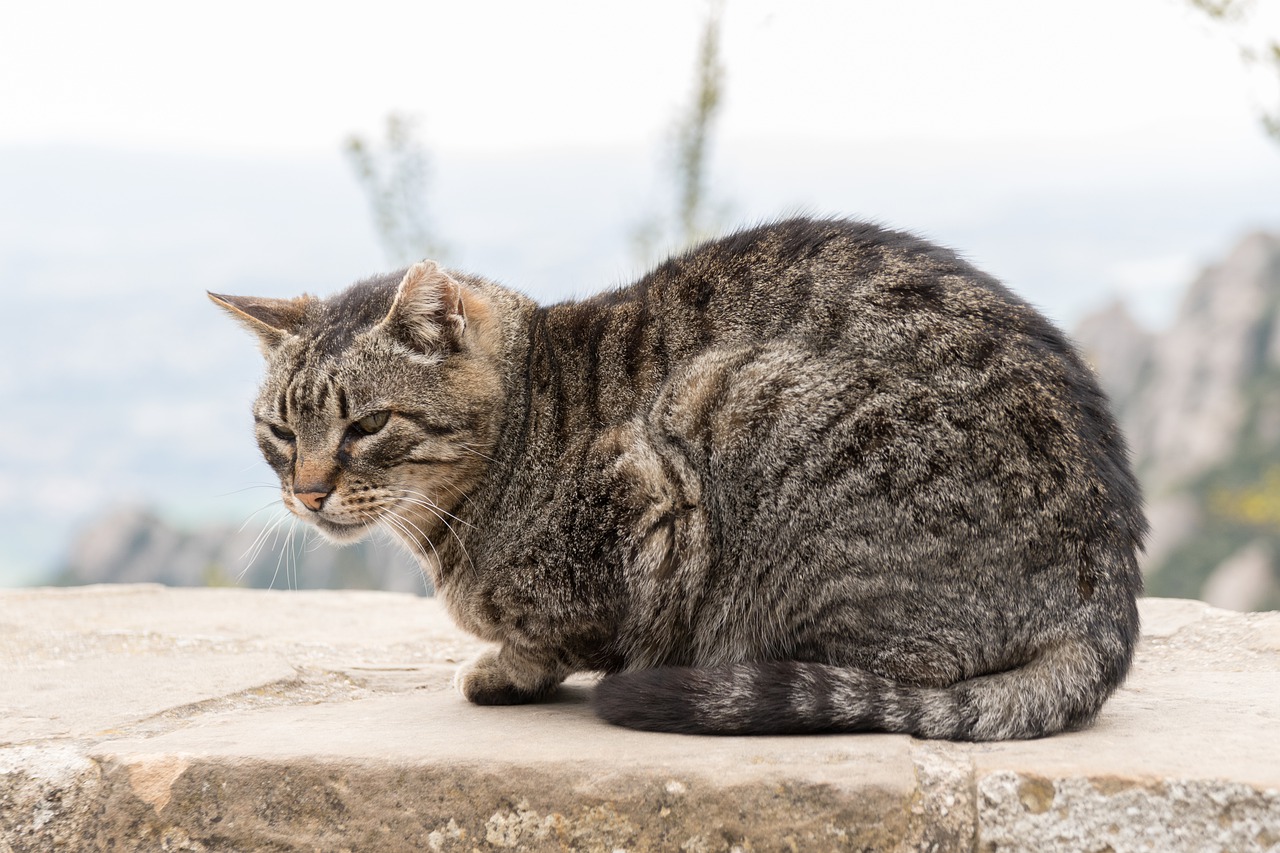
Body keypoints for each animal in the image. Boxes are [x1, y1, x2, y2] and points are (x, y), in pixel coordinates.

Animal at [212, 213, 1152, 737]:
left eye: (367, 425)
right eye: (280, 430)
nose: (308, 490)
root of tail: (1106, 600)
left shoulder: (647, 504)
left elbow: (559, 635)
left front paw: (505, 667)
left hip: (732, 399)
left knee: (896, 676)